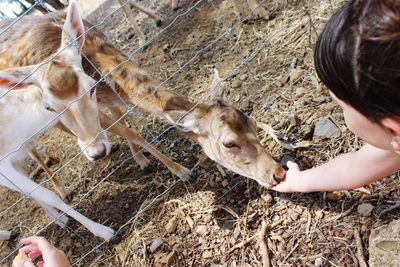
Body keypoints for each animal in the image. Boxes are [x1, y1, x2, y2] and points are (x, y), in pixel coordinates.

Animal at [0, 0, 115, 243]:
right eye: (49, 106)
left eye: (92, 87)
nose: (97, 152)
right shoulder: (2, 167)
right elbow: (48, 194)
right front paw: (104, 231)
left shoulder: (15, 156)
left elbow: (32, 192)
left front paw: (62, 219)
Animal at [6, 5, 286, 191]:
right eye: (229, 144)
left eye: (252, 122)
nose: (278, 173)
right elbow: (131, 131)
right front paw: (183, 172)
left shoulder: (106, 99)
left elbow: (128, 124)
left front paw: (146, 161)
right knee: (35, 148)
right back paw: (61, 187)